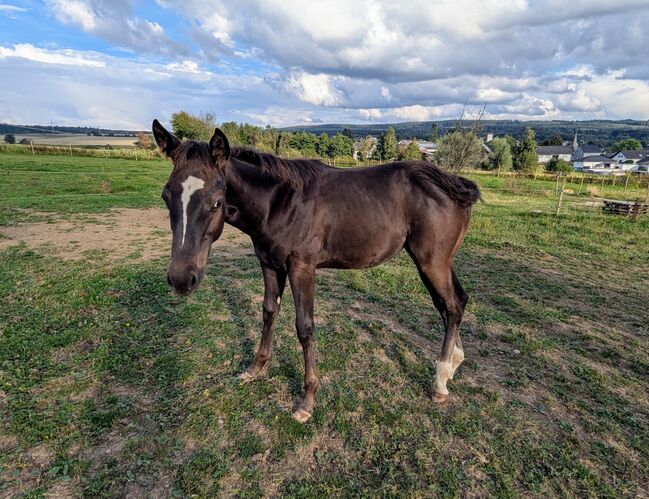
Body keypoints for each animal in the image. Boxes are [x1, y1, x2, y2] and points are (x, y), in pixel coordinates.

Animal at [151, 120, 476, 422]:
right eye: (166, 196)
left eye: (217, 201)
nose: (181, 279)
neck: (280, 203)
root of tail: (453, 183)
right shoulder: (268, 263)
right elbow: (269, 310)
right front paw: (256, 368)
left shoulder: (302, 268)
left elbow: (304, 327)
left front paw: (307, 400)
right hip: (439, 261)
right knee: (453, 303)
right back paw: (453, 364)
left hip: (430, 261)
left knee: (451, 305)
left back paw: (440, 381)